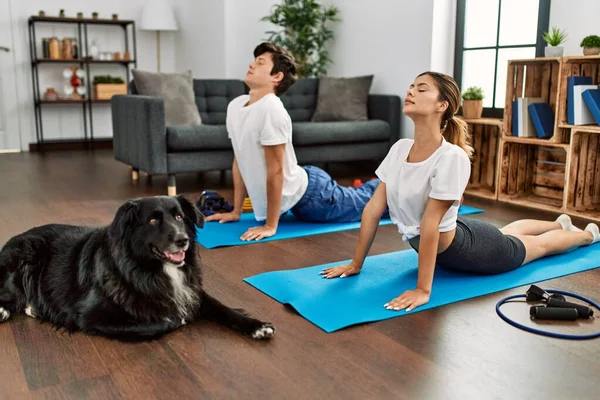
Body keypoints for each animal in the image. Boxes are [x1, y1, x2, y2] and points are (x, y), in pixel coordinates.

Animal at [0, 195, 274, 340]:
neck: (149, 269)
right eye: (152, 221)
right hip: (25, 255)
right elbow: (162, 322)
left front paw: (256, 326)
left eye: (179, 217)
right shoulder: (90, 316)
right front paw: (178, 319)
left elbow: (222, 307)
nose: (182, 240)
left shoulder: (191, 291)